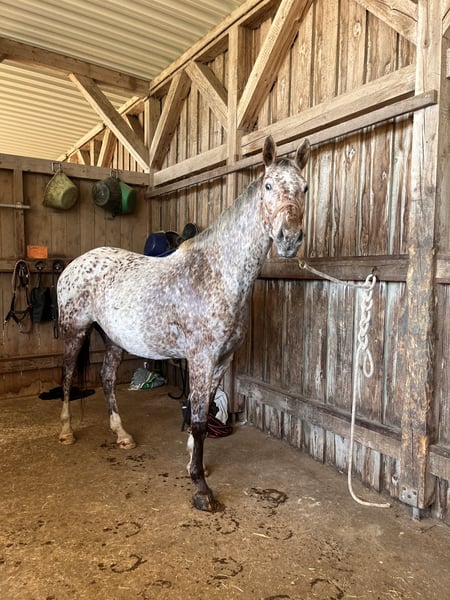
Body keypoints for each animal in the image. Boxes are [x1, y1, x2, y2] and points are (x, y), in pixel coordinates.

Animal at [57, 135, 310, 512]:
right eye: (268, 186)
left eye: (304, 188)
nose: (289, 238)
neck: (218, 274)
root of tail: (75, 264)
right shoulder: (201, 359)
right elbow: (201, 420)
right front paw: (201, 489)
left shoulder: (221, 360)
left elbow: (198, 414)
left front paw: (195, 463)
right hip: (74, 332)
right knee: (68, 376)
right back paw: (66, 432)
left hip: (115, 339)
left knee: (106, 379)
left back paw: (122, 435)